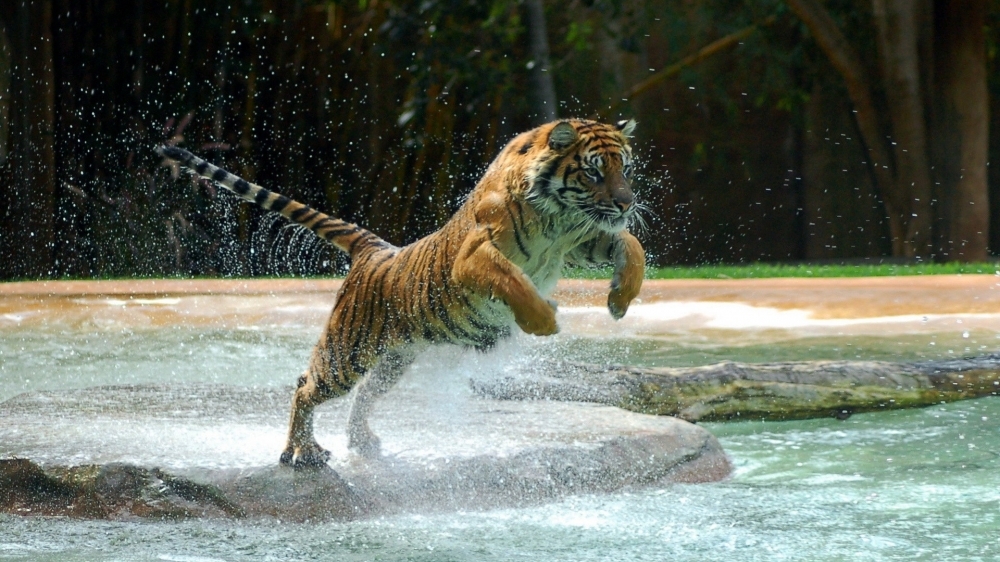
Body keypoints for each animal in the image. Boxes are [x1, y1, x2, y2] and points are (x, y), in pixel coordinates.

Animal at [156, 119, 640, 468]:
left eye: (625, 169)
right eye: (594, 170)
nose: (626, 202)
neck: (558, 218)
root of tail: (375, 250)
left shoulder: (581, 240)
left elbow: (631, 246)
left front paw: (619, 300)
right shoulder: (476, 256)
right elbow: (515, 281)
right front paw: (544, 320)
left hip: (393, 359)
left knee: (364, 395)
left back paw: (362, 443)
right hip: (347, 351)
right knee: (305, 386)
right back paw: (302, 453)